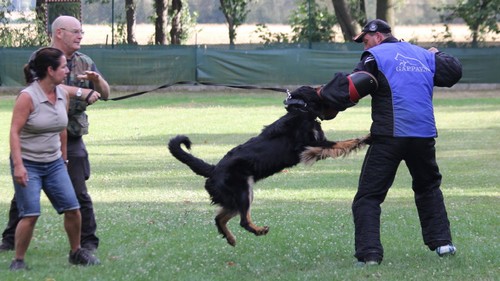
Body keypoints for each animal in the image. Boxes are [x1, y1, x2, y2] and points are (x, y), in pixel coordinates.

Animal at [168, 85, 372, 245]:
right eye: (318, 89)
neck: (301, 111)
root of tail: (213, 169)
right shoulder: (311, 146)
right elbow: (343, 142)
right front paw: (364, 138)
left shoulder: (316, 148)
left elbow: (343, 144)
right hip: (244, 192)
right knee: (243, 221)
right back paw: (258, 230)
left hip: (234, 198)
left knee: (219, 218)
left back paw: (231, 238)